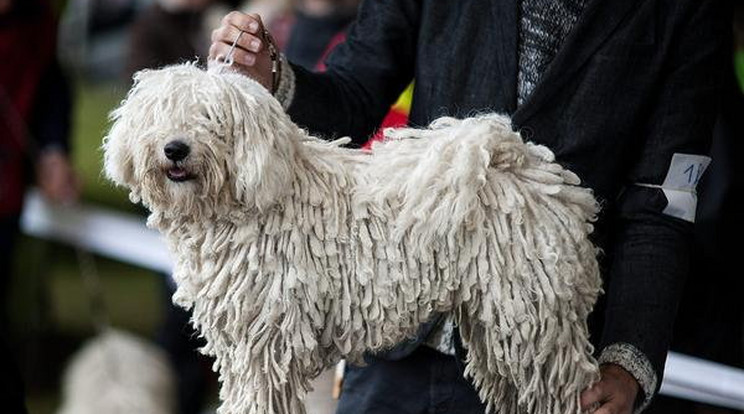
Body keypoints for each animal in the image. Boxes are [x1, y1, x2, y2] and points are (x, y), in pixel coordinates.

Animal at [104, 64, 600, 414]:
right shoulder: (240, 342)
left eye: (211, 120)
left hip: (532, 314)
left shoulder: (267, 340)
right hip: (500, 325)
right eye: (162, 116)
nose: (175, 148)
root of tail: (525, 166)